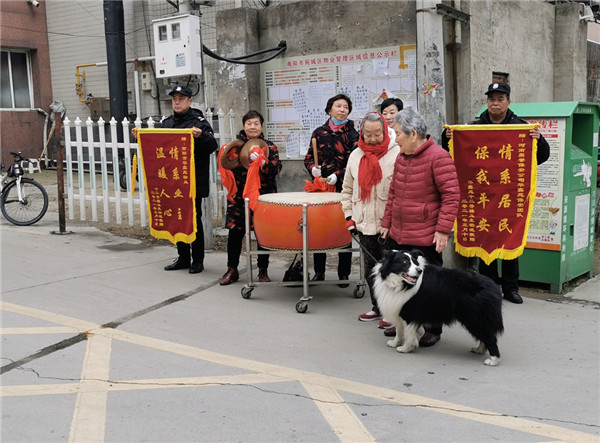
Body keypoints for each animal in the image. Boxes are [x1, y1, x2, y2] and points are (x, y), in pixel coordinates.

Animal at [372, 250, 504, 368]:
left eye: (415, 262)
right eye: (404, 262)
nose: (419, 271)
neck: (400, 284)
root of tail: (494, 287)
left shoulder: (409, 313)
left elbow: (408, 333)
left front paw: (405, 348)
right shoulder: (398, 310)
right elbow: (399, 330)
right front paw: (395, 343)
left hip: (475, 318)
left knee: (490, 337)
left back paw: (493, 360)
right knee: (485, 336)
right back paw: (479, 349)